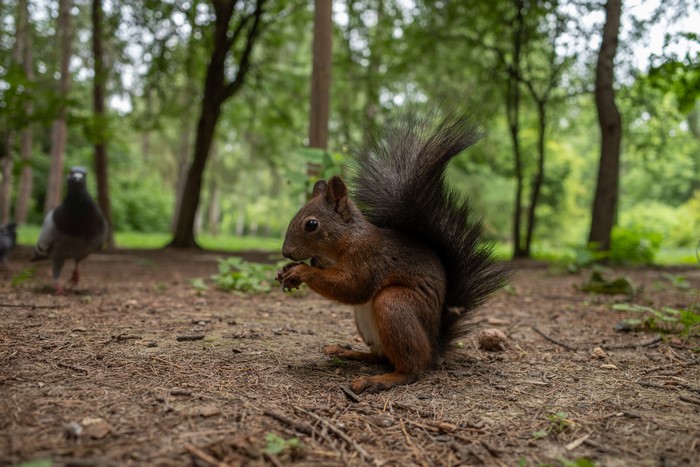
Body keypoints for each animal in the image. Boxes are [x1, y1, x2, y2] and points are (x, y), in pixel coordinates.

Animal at [276, 109, 508, 394]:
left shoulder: (369, 259)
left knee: (411, 368)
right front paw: (285, 272)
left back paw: (378, 380)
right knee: (380, 356)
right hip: (366, 323)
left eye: (311, 224)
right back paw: (346, 351)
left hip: (395, 305)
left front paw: (300, 271)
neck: (346, 240)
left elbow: (354, 287)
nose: (286, 253)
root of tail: (434, 347)